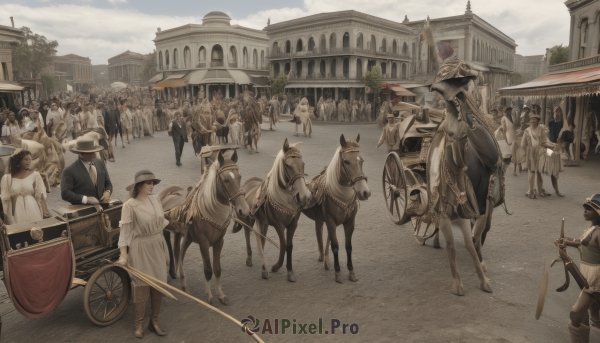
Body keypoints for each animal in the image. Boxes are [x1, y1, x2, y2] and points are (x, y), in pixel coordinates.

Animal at [159, 151, 248, 306]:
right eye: (226, 180)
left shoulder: (219, 242)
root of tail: (168, 192)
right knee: (171, 248)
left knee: (179, 252)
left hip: (183, 234)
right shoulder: (203, 243)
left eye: (240, 176)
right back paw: (171, 273)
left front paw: (221, 295)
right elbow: (208, 270)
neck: (210, 211)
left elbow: (217, 269)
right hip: (166, 231)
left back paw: (183, 283)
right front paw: (209, 296)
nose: (243, 209)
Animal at [232, 139, 312, 282]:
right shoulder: (278, 224)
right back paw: (250, 259)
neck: (284, 199)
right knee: (247, 233)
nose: (303, 195)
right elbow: (283, 244)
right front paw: (276, 266)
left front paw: (290, 271)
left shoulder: (293, 224)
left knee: (262, 239)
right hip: (246, 219)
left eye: (302, 164)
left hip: (262, 222)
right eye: (288, 166)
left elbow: (289, 246)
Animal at [304, 133, 370, 284]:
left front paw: (351, 272)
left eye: (361, 160)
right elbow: (335, 246)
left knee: (319, 232)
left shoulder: (350, 222)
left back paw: (324, 259)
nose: (365, 192)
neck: (342, 196)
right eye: (346, 161)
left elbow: (348, 247)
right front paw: (338, 272)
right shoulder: (331, 221)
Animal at [426, 59, 506, 296]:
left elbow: (473, 242)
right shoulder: (448, 213)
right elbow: (453, 246)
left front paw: (483, 278)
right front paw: (458, 284)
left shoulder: (475, 209)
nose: (436, 87)